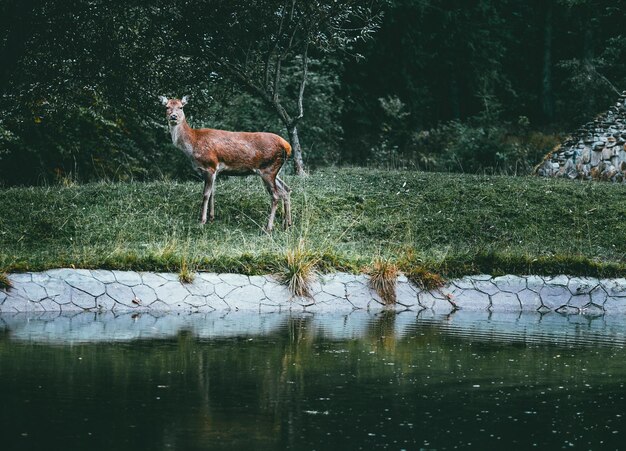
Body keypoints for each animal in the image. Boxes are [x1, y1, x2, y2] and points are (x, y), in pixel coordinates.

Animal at [158, 93, 290, 231]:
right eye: (166, 107)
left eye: (181, 107)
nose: (173, 116)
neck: (193, 144)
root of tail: (287, 146)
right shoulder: (214, 171)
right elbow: (212, 193)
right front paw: (211, 217)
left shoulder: (210, 166)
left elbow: (205, 194)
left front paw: (202, 221)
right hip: (274, 170)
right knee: (286, 189)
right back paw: (287, 224)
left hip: (268, 169)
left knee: (275, 195)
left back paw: (268, 227)